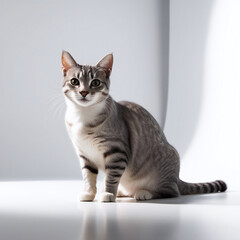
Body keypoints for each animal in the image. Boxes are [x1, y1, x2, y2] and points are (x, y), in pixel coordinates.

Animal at [60, 51, 227, 202]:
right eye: (74, 81)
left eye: (95, 82)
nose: (83, 92)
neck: (83, 115)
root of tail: (177, 178)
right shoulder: (85, 155)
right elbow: (88, 177)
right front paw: (89, 193)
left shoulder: (117, 152)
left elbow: (111, 177)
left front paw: (107, 193)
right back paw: (121, 192)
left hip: (166, 166)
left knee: (171, 191)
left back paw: (144, 193)